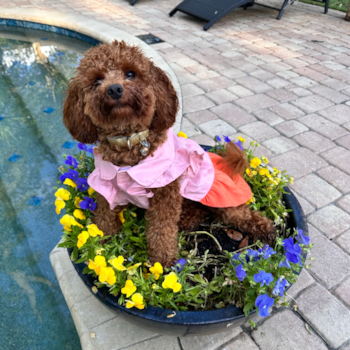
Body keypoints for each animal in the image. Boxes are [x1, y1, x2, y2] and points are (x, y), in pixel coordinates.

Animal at [63, 39, 276, 266]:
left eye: (130, 73)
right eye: (97, 80)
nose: (114, 89)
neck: (129, 141)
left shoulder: (165, 193)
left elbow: (161, 229)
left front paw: (162, 260)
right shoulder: (107, 188)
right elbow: (104, 218)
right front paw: (96, 245)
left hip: (218, 195)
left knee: (241, 215)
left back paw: (267, 230)